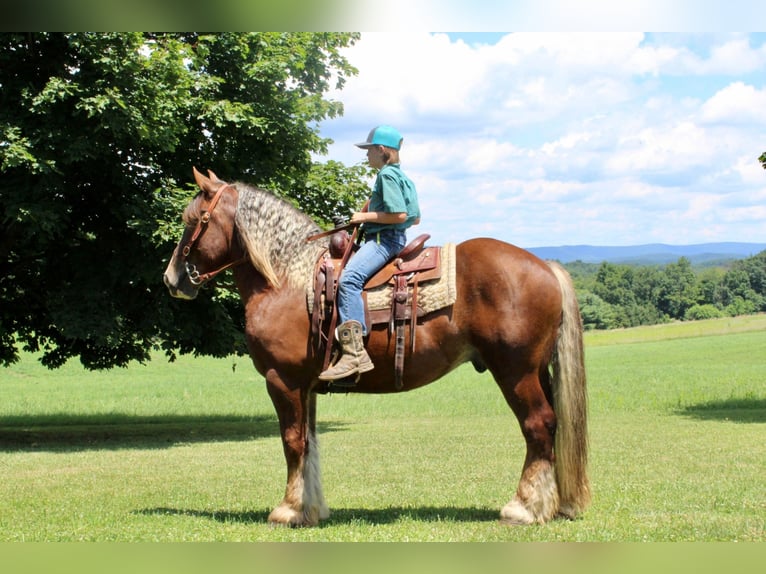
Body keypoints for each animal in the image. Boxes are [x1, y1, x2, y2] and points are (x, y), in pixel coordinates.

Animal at [165, 168, 592, 528]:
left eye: (193, 221)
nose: (172, 278)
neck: (287, 282)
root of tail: (545, 265)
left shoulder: (282, 381)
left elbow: (292, 442)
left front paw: (288, 510)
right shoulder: (306, 386)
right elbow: (310, 443)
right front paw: (311, 509)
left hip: (516, 372)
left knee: (538, 425)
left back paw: (524, 508)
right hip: (537, 371)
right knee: (553, 425)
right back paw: (555, 504)